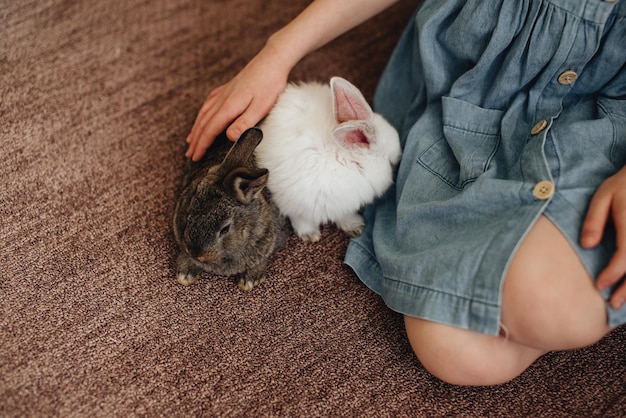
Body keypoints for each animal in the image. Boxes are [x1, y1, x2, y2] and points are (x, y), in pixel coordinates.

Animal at [254, 76, 400, 243]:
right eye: (390, 163)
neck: (347, 159)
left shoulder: (340, 205)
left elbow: (343, 215)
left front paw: (355, 227)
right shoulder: (297, 201)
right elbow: (300, 219)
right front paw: (310, 235)